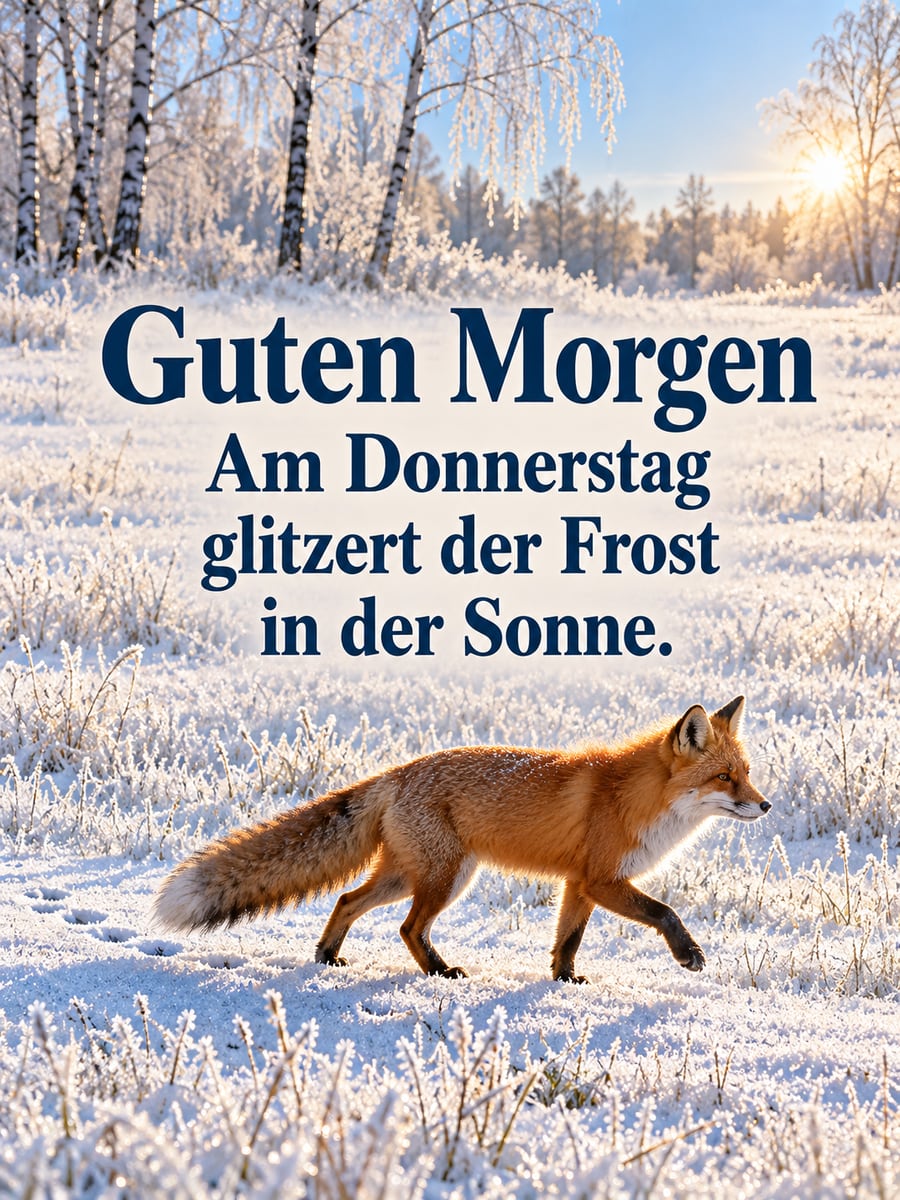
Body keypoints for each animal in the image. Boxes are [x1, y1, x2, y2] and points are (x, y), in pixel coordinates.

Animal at [154, 695, 770, 982]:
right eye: (724, 778)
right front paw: (688, 954)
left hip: (411, 875)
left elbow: (567, 940)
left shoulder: (579, 883)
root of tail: (396, 773)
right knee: (407, 928)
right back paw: (437, 972)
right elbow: (666, 911)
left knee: (347, 899)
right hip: (443, 878)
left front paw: (564, 981)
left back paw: (328, 957)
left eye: (746, 773)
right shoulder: (602, 879)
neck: (635, 800)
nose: (765, 806)